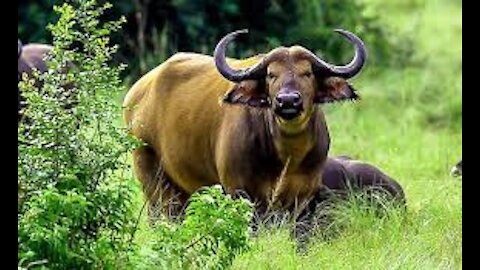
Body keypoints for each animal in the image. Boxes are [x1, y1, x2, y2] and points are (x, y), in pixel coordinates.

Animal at [124, 29, 368, 219]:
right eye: (271, 74)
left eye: (307, 73)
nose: (288, 100)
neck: (287, 157)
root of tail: (136, 94)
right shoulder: (240, 191)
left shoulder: (305, 195)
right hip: (153, 181)